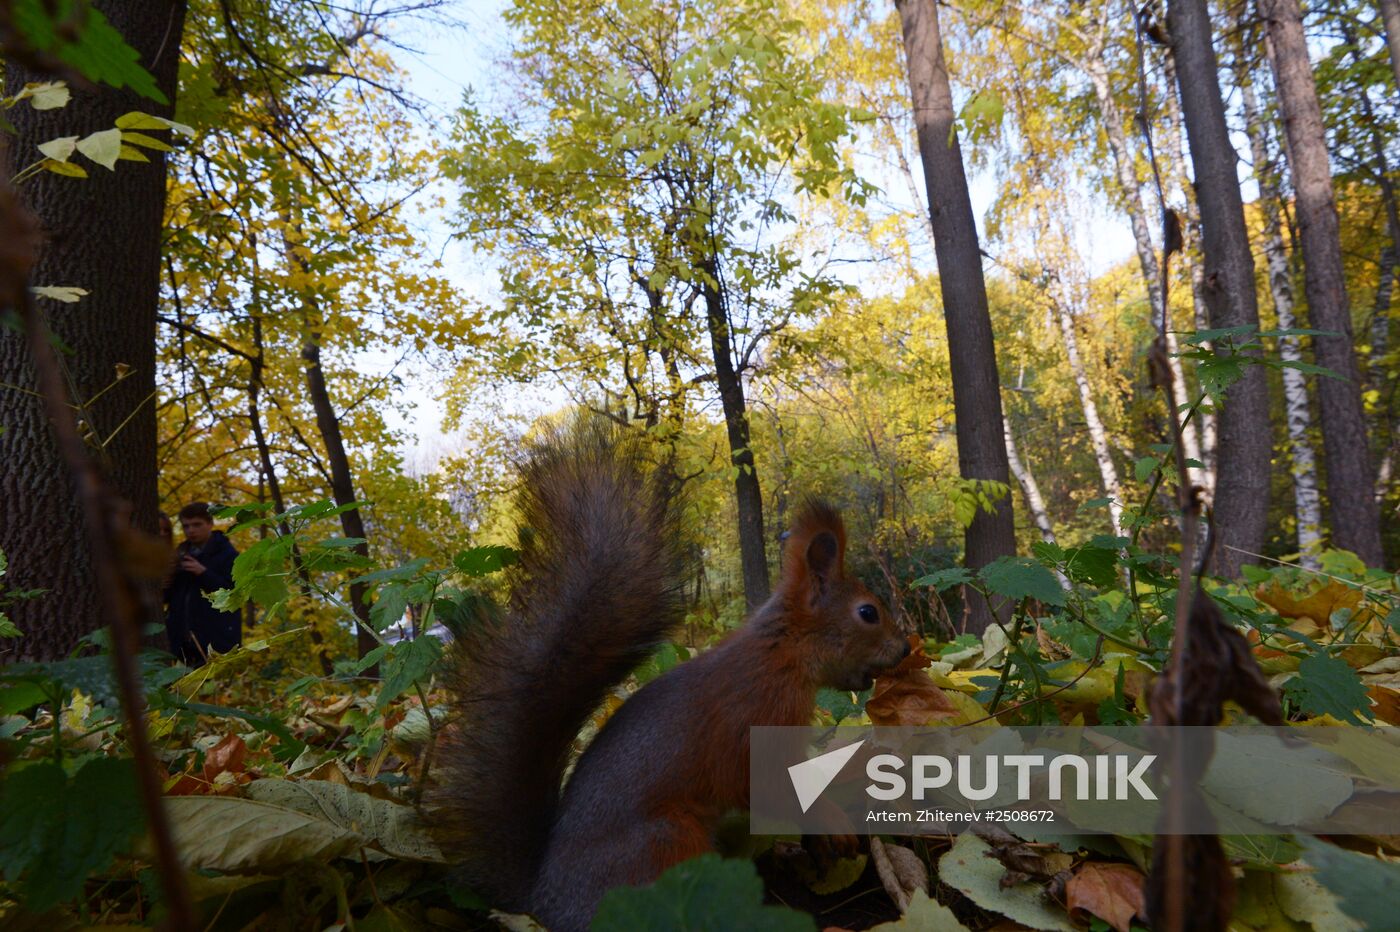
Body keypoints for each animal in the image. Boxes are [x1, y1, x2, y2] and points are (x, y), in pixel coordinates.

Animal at [428, 425, 907, 923]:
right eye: (868, 613)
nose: (906, 648)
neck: (781, 656)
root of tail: (543, 902)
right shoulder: (754, 720)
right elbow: (767, 784)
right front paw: (830, 820)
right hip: (665, 844)